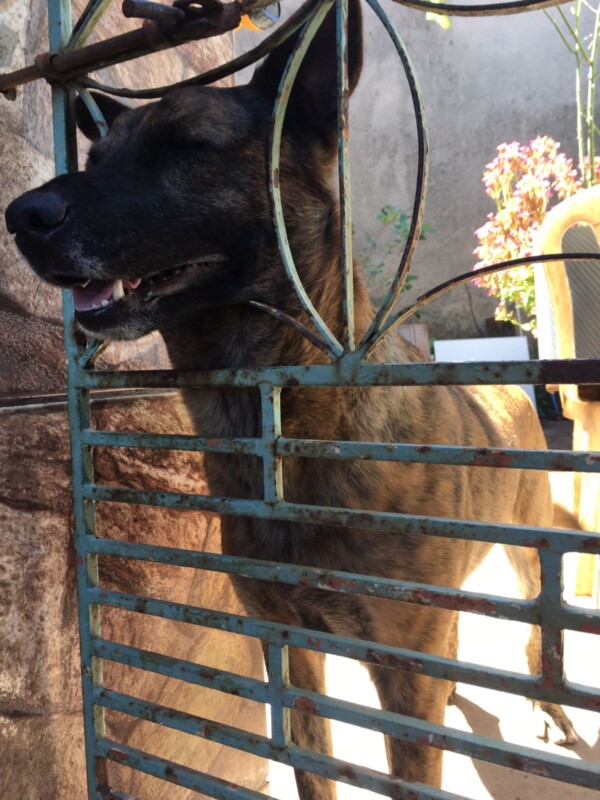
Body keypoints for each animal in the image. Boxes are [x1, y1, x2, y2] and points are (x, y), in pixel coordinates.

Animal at [4, 3, 576, 796]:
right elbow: (314, 767)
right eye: (94, 163)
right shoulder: (294, 654)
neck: (283, 427)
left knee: (529, 633)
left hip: (524, 554)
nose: (20, 216)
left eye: (188, 146)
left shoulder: (401, 681)